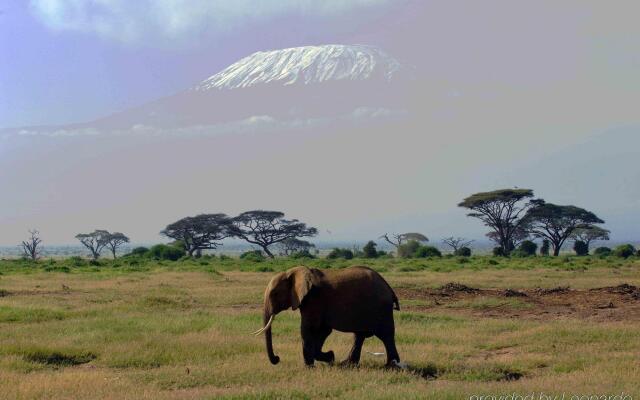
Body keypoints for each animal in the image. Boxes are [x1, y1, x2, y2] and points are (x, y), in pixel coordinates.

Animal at [254, 268, 400, 368]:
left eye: (274, 293)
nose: (277, 358)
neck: (294, 271)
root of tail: (389, 289)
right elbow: (323, 331)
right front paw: (330, 357)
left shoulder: (313, 300)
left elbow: (308, 329)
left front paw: (309, 366)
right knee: (360, 336)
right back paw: (346, 364)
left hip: (381, 309)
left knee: (386, 335)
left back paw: (391, 366)